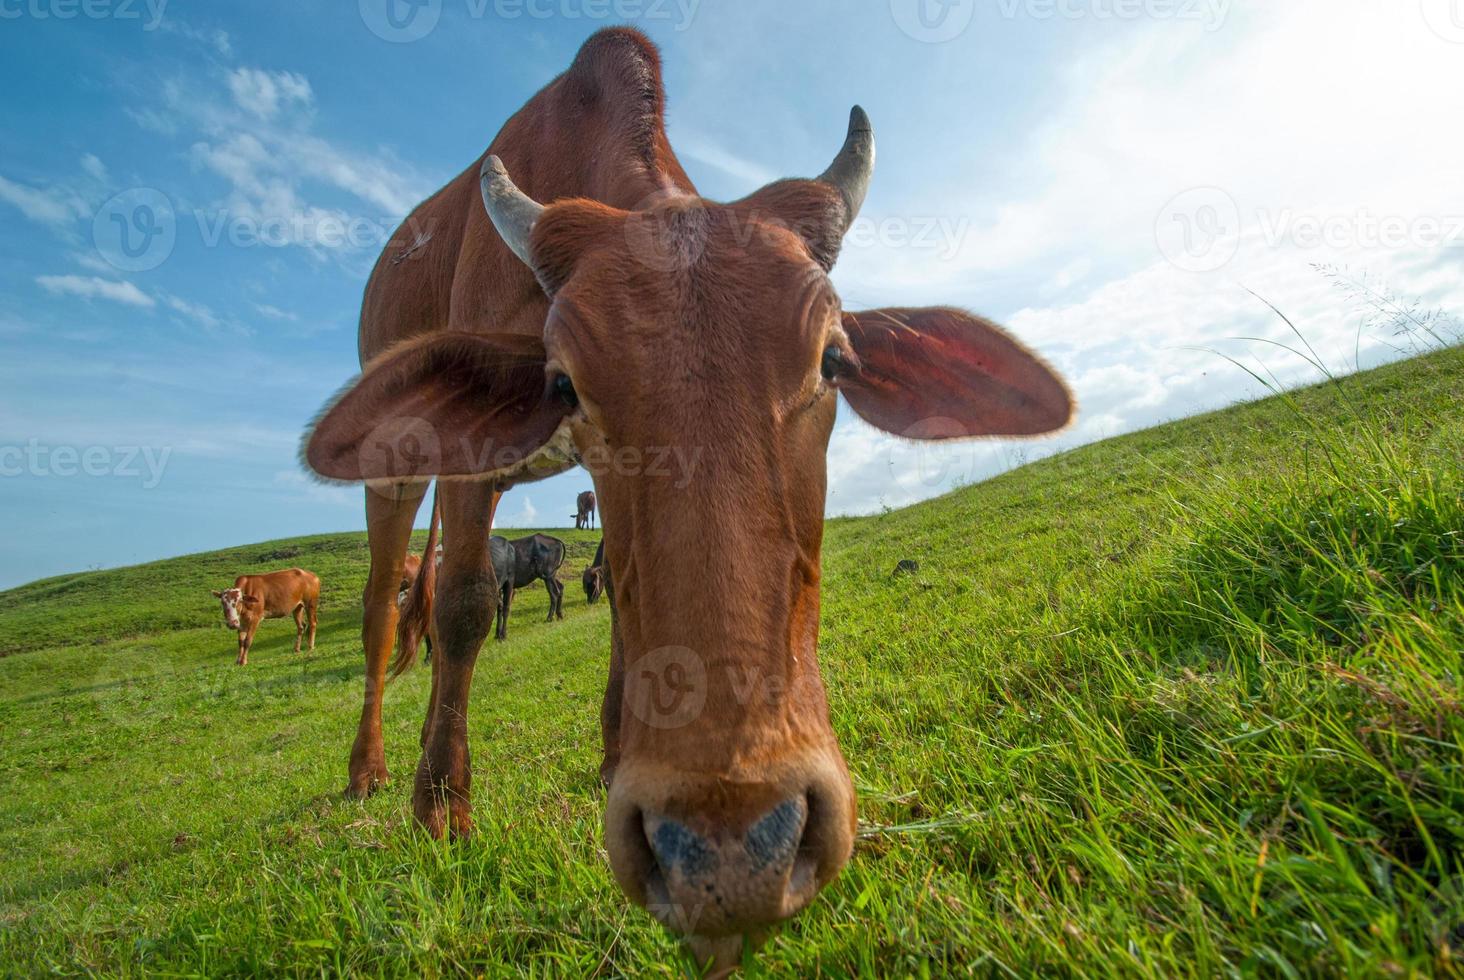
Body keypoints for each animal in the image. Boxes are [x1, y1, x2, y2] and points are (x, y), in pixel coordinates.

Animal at [300, 26, 1077, 966]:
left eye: (833, 359)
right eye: (564, 383)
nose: (735, 852)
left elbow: (621, 606)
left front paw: (611, 754)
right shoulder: (472, 468)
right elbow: (462, 603)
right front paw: (441, 806)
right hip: (398, 475)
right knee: (388, 609)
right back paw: (370, 768)